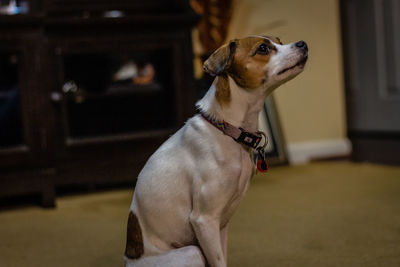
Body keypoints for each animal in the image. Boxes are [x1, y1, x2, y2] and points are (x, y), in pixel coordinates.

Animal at [123, 35, 308, 267]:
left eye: (279, 41)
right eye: (263, 49)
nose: (303, 44)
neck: (228, 130)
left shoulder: (221, 225)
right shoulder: (204, 220)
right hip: (191, 252)